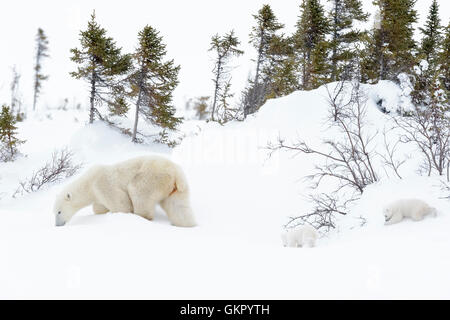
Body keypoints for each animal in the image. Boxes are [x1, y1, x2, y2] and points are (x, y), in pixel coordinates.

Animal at [52, 156, 195, 228]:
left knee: (137, 191)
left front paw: (120, 214)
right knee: (178, 207)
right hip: (176, 189)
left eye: (59, 212)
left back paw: (141, 217)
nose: (57, 225)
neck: (88, 183)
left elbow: (121, 203)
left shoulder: (102, 184)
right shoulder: (97, 194)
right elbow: (98, 207)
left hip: (151, 177)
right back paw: (186, 225)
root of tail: (176, 173)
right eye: (54, 212)